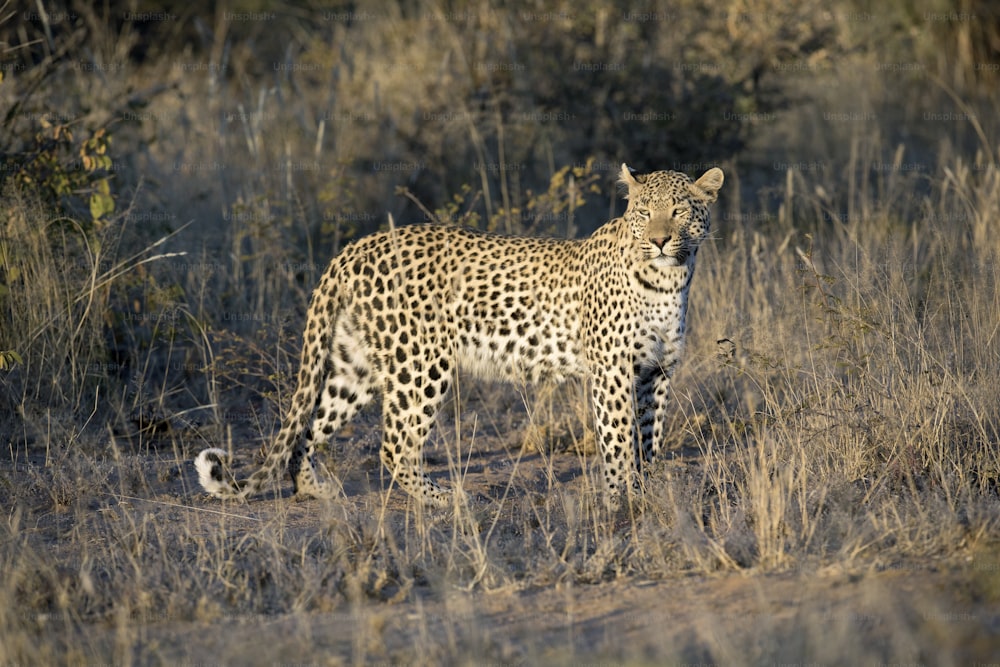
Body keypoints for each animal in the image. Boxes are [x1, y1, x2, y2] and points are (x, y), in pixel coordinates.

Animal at [197, 164, 728, 508]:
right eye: (644, 212)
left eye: (679, 211)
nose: (659, 239)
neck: (669, 280)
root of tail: (354, 247)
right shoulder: (612, 371)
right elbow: (619, 441)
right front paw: (622, 501)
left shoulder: (656, 371)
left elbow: (649, 438)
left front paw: (647, 490)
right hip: (420, 364)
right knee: (394, 445)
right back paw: (445, 500)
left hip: (358, 365)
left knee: (310, 428)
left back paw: (314, 490)